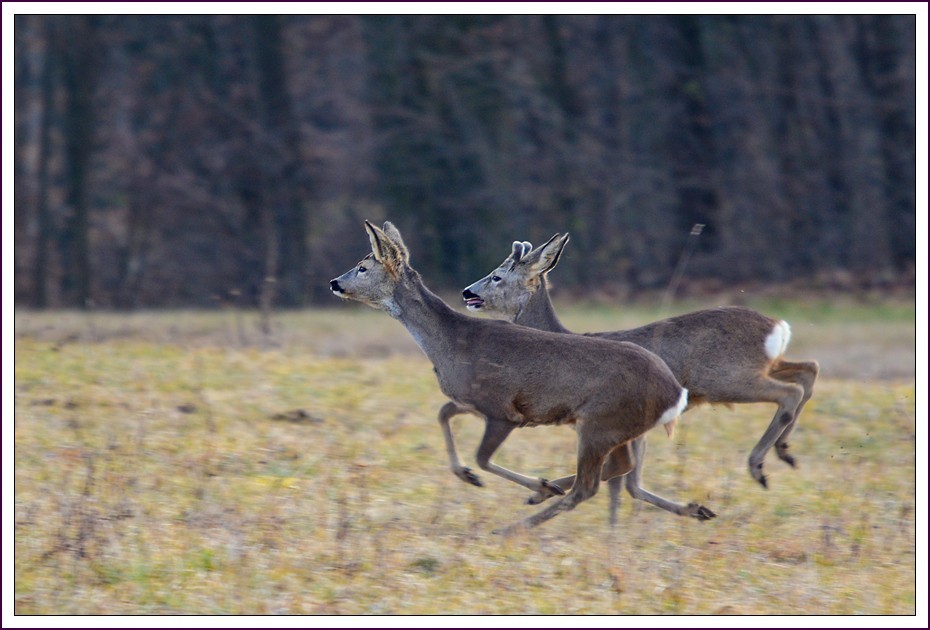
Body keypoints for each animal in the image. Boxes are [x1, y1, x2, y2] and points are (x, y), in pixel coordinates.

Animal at [332, 222, 712, 532]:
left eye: (363, 267)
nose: (334, 282)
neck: (452, 341)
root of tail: (675, 392)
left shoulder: (504, 410)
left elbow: (483, 457)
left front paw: (537, 485)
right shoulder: (473, 401)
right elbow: (443, 414)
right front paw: (468, 476)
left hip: (600, 423)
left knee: (588, 486)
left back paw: (516, 525)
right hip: (615, 429)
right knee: (619, 470)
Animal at [458, 235, 820, 524]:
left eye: (497, 276)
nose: (466, 292)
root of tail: (777, 326)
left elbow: (619, 481)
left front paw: (543, 492)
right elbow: (631, 483)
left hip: (725, 378)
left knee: (789, 391)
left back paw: (759, 466)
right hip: (757, 368)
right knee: (808, 369)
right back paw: (784, 452)